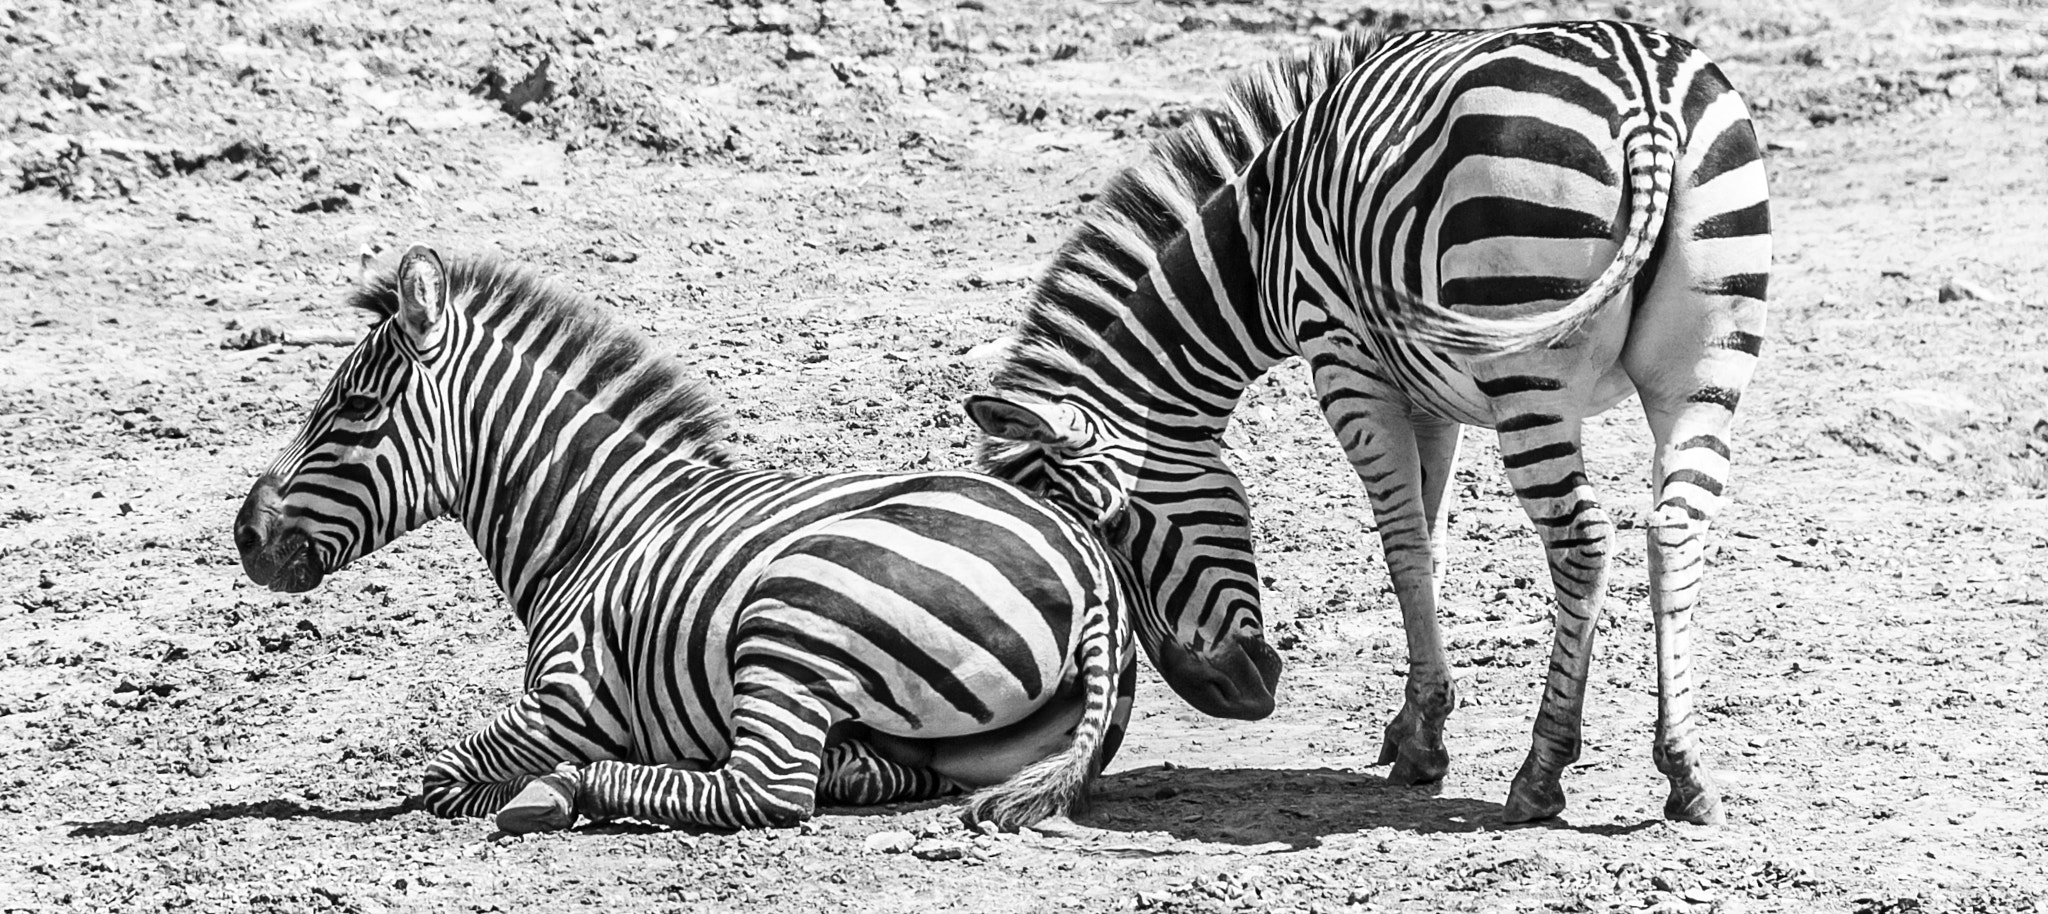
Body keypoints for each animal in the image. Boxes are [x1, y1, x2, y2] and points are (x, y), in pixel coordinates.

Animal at [233, 244, 1137, 832]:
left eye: (353, 408)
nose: (245, 536)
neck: (597, 527)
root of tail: (1092, 574)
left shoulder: (575, 695)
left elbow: (448, 775)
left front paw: (533, 783)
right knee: (866, 769)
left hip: (797, 607)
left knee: (767, 788)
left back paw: (576, 788)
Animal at [966, 21, 1769, 826]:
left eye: (1119, 529)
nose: (1232, 699)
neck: (1261, 241)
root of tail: (1648, 95)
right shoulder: (1430, 396)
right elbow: (1433, 545)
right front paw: (1417, 719)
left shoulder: (1345, 363)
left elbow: (1402, 547)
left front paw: (1422, 741)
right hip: (1704, 362)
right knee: (1676, 527)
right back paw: (1685, 771)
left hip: (1528, 362)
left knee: (1583, 539)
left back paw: (1541, 772)